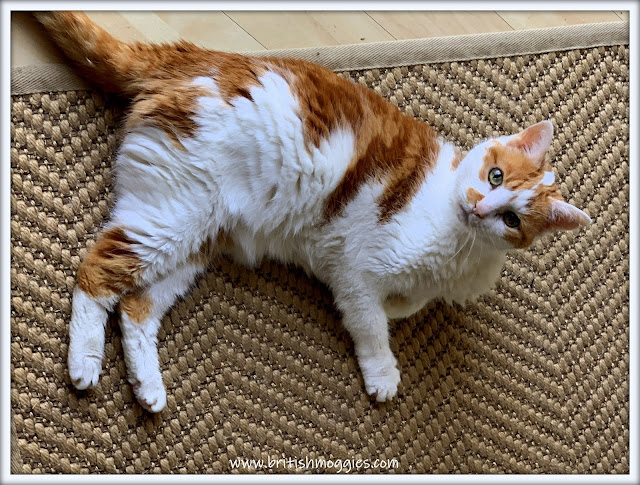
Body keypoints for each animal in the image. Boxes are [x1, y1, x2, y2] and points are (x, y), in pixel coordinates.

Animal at [36, 12, 592, 412]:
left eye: (513, 219)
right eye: (494, 176)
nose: (480, 206)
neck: (460, 249)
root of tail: (193, 56)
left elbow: (405, 306)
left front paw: (401, 306)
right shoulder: (357, 271)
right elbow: (372, 324)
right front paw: (383, 372)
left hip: (194, 239)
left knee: (135, 307)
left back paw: (148, 388)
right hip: (172, 218)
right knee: (95, 275)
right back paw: (84, 363)